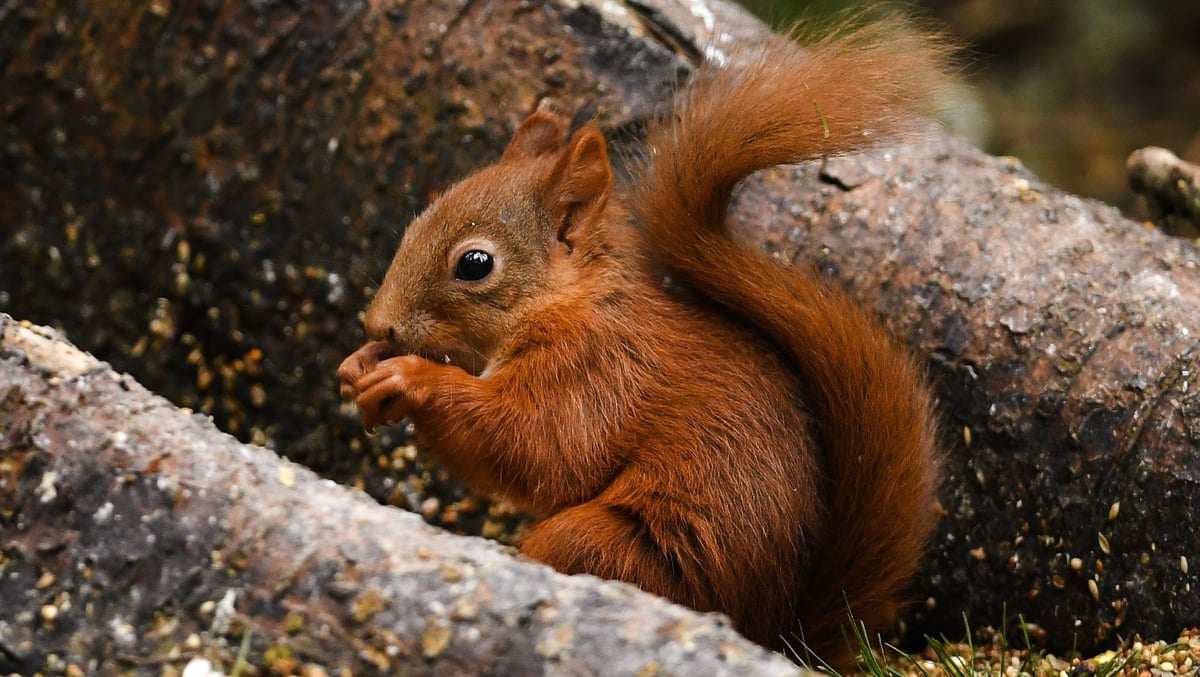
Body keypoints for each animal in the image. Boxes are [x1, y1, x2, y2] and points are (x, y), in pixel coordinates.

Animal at [338, 16, 945, 671]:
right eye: (415, 223)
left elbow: (538, 448)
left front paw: (409, 378)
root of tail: (777, 632)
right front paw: (359, 366)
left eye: (475, 264)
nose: (378, 324)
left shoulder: (597, 371)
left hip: (618, 547)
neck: (575, 303)